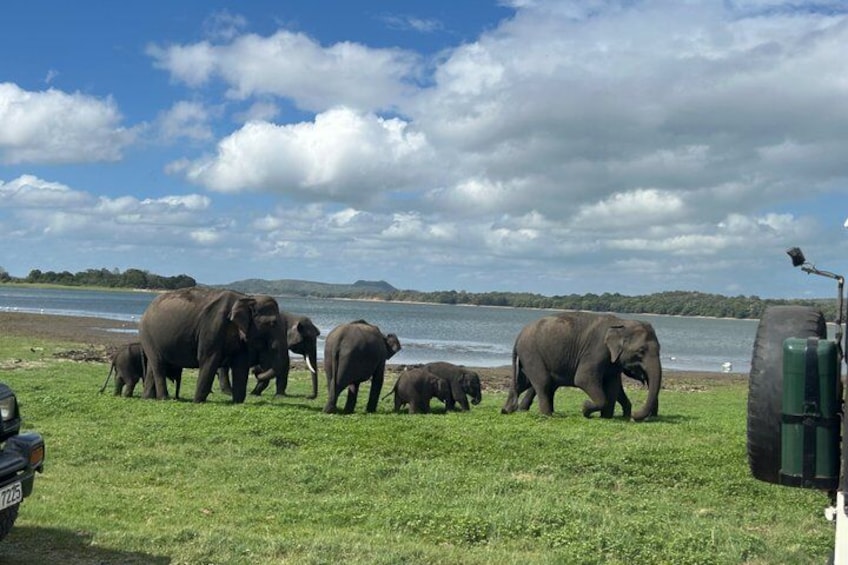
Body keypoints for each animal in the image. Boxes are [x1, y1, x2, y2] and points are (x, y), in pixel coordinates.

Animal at [139, 288, 289, 403]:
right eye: (273, 323)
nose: (256, 371)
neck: (247, 298)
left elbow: (240, 365)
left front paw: (237, 402)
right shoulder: (212, 326)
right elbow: (208, 360)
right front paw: (198, 402)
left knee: (153, 367)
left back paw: (148, 398)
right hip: (148, 336)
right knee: (158, 365)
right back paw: (164, 398)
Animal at [501, 312, 662, 421]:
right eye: (641, 351)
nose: (635, 416)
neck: (622, 322)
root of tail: (518, 336)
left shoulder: (612, 361)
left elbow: (613, 385)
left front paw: (606, 417)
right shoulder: (596, 351)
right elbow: (583, 379)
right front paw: (585, 407)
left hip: (528, 357)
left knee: (523, 383)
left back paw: (507, 410)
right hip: (532, 353)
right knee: (543, 382)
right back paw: (548, 415)